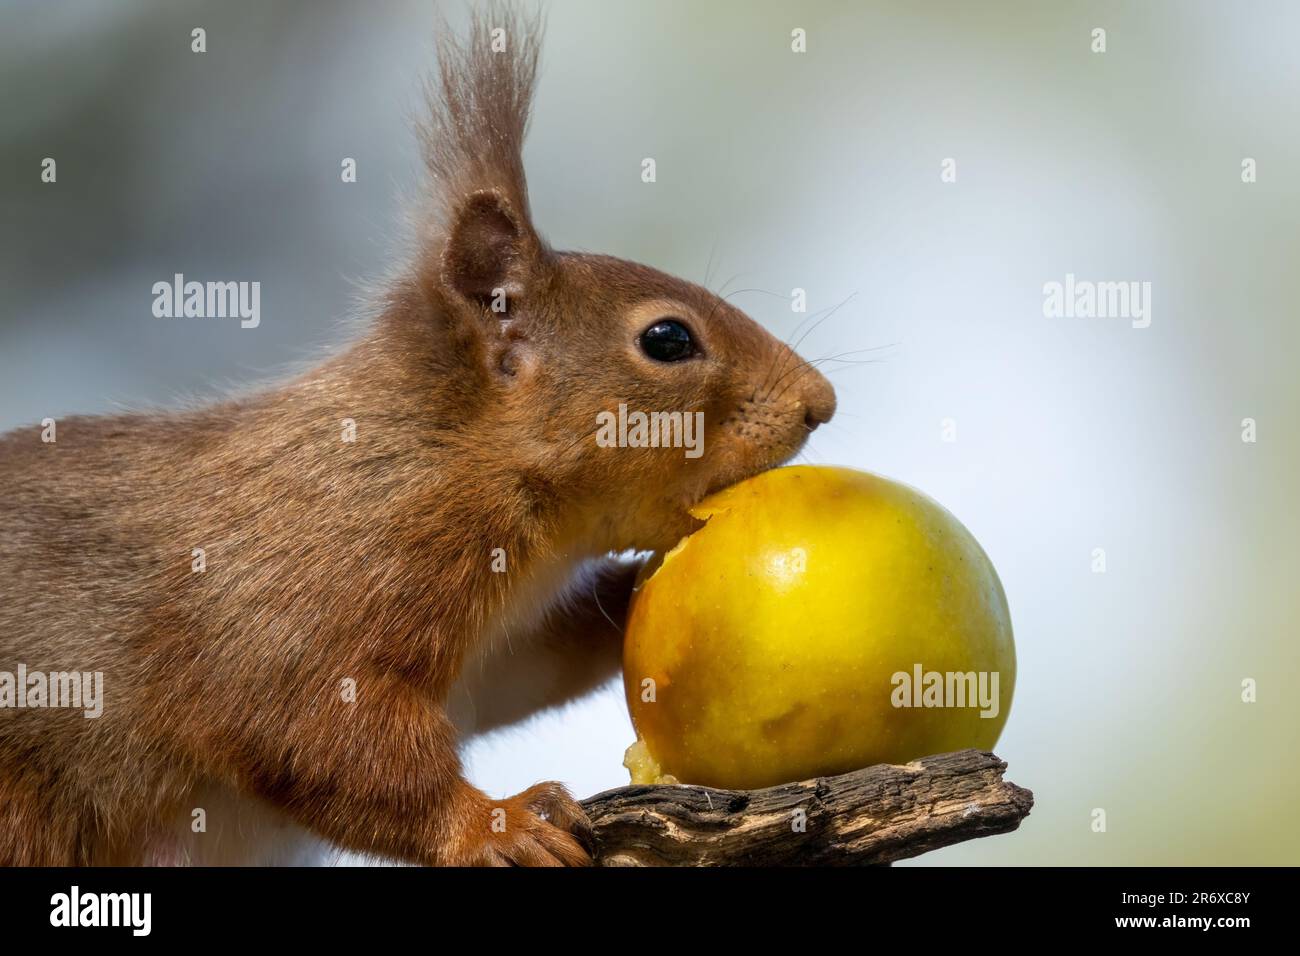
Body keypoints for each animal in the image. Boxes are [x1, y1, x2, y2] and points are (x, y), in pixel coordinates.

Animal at [0, 3, 835, 866]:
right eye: (668, 339)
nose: (822, 404)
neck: (438, 455)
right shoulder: (311, 586)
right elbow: (307, 727)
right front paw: (499, 821)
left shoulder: (491, 653)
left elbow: (525, 670)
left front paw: (628, 583)